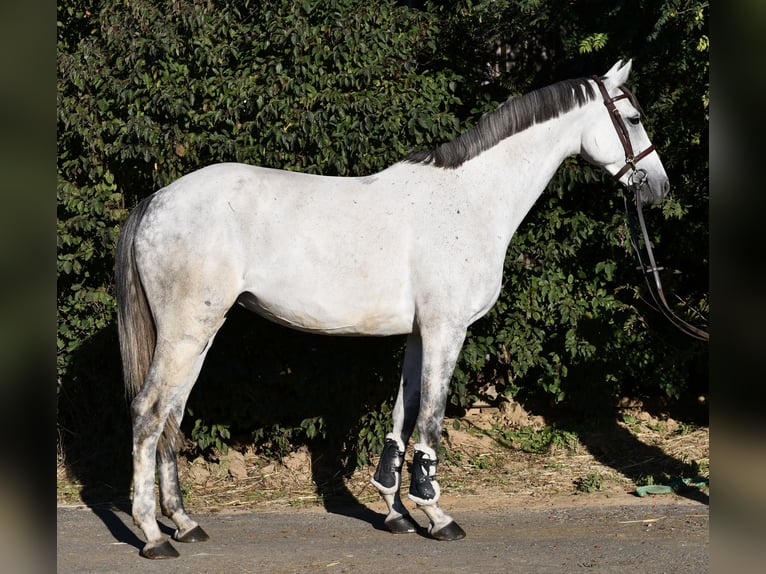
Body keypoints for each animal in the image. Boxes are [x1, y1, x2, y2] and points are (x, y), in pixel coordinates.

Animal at [115, 59, 669, 558]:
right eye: (633, 118)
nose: (660, 187)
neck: (470, 199)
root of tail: (156, 201)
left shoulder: (420, 333)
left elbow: (403, 412)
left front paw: (396, 510)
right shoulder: (446, 329)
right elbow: (430, 416)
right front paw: (437, 514)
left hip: (199, 334)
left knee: (171, 415)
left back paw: (185, 523)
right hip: (187, 330)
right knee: (148, 412)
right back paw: (154, 535)